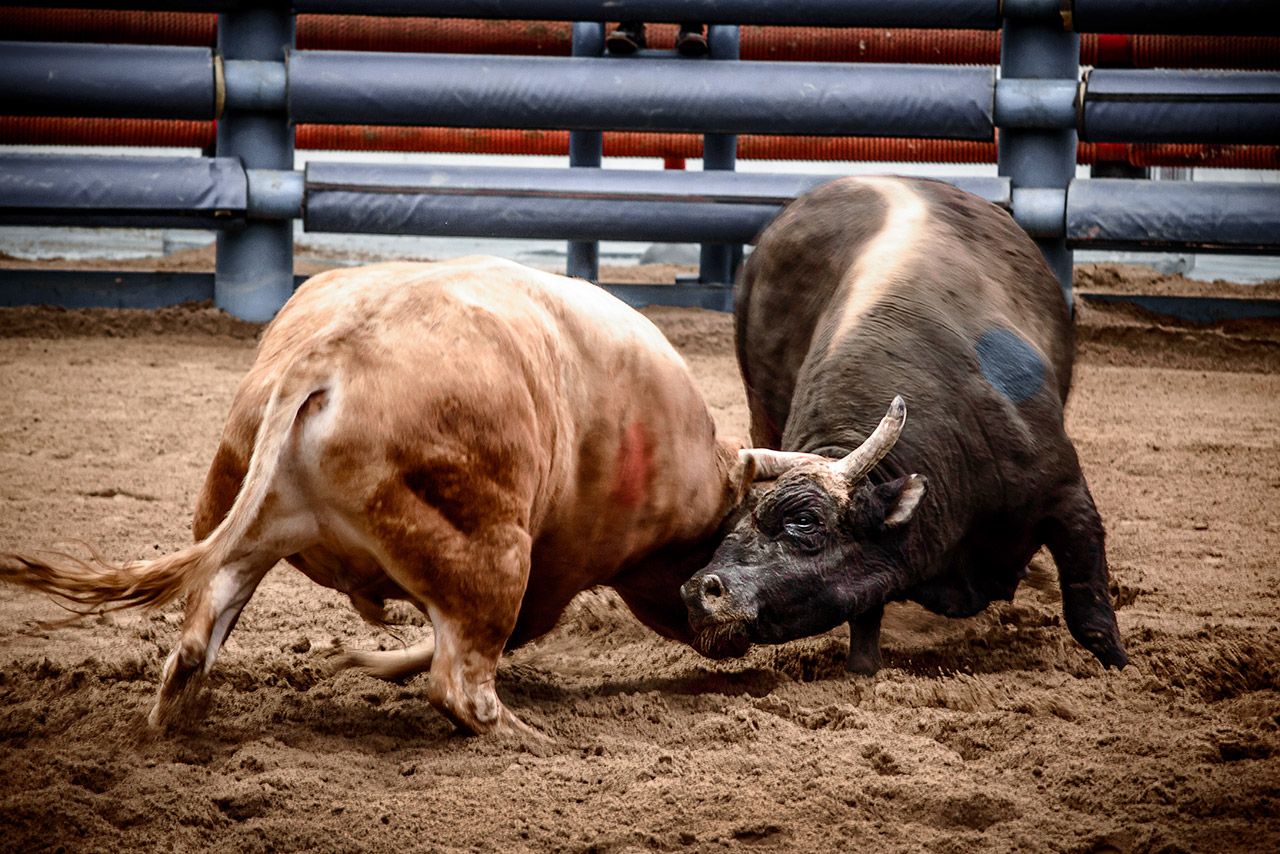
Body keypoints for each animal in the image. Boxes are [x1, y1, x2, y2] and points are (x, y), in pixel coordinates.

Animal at [680, 175, 1131, 676]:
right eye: (736, 522)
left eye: (805, 520)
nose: (698, 593)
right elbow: (864, 615)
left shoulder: (1067, 497)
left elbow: (1090, 614)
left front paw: (1120, 666)